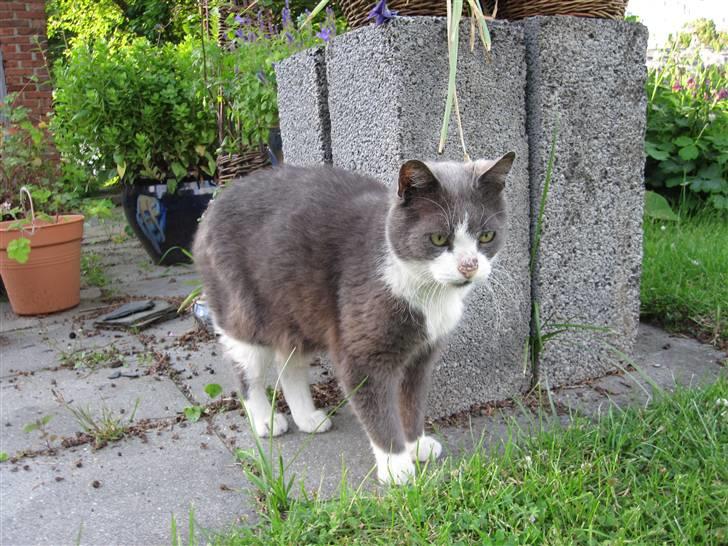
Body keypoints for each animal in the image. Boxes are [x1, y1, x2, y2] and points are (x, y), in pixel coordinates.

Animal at [191, 151, 516, 482]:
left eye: (486, 236)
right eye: (438, 238)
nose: (469, 265)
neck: (427, 294)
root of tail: (216, 203)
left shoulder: (422, 356)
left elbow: (412, 401)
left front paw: (416, 445)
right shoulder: (363, 354)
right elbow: (379, 412)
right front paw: (396, 467)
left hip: (299, 312)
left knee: (289, 363)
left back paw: (308, 418)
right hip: (245, 313)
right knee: (248, 372)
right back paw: (265, 422)